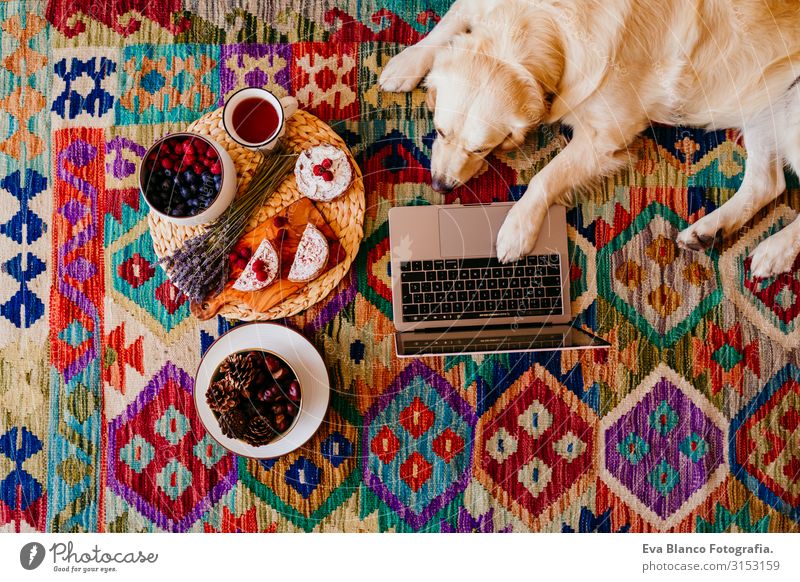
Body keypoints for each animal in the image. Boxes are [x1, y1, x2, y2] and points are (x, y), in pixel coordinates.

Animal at [378, 0, 800, 278]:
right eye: (441, 131)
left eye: (481, 149)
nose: (440, 185)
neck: (545, 20)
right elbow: (450, 20)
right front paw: (406, 63)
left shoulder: (605, 133)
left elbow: (545, 176)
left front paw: (517, 227)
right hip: (763, 105)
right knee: (768, 183)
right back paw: (708, 230)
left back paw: (775, 251)